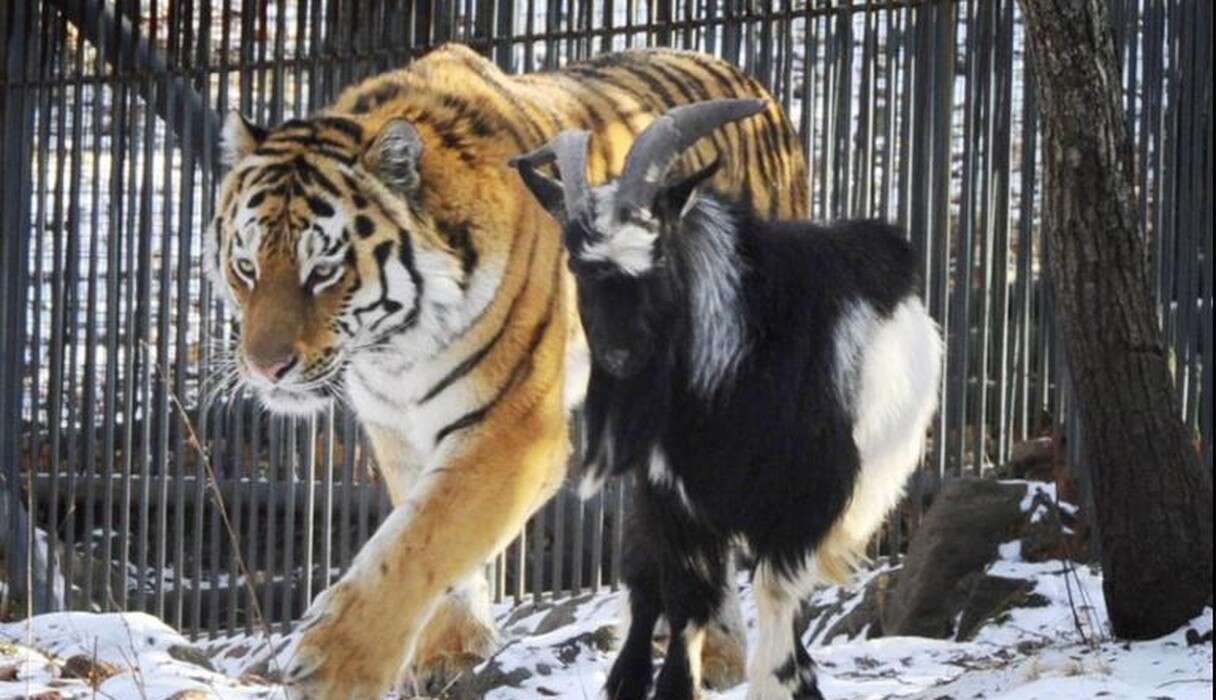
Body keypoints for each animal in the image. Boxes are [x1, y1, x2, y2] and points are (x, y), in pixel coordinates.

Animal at [208, 43, 807, 698]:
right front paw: (450, 652)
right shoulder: (398, 429)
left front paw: (335, 663)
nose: (265, 367)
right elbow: (419, 528)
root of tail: (759, 89)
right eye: (246, 267)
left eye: (323, 272)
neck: (396, 349)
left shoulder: (513, 429)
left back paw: (721, 656)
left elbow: (426, 534)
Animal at [511, 99, 943, 700]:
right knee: (646, 582)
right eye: (576, 264)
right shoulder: (675, 500)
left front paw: (788, 682)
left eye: (659, 252)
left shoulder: (803, 506)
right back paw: (626, 676)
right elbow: (682, 598)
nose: (621, 357)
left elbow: (775, 605)